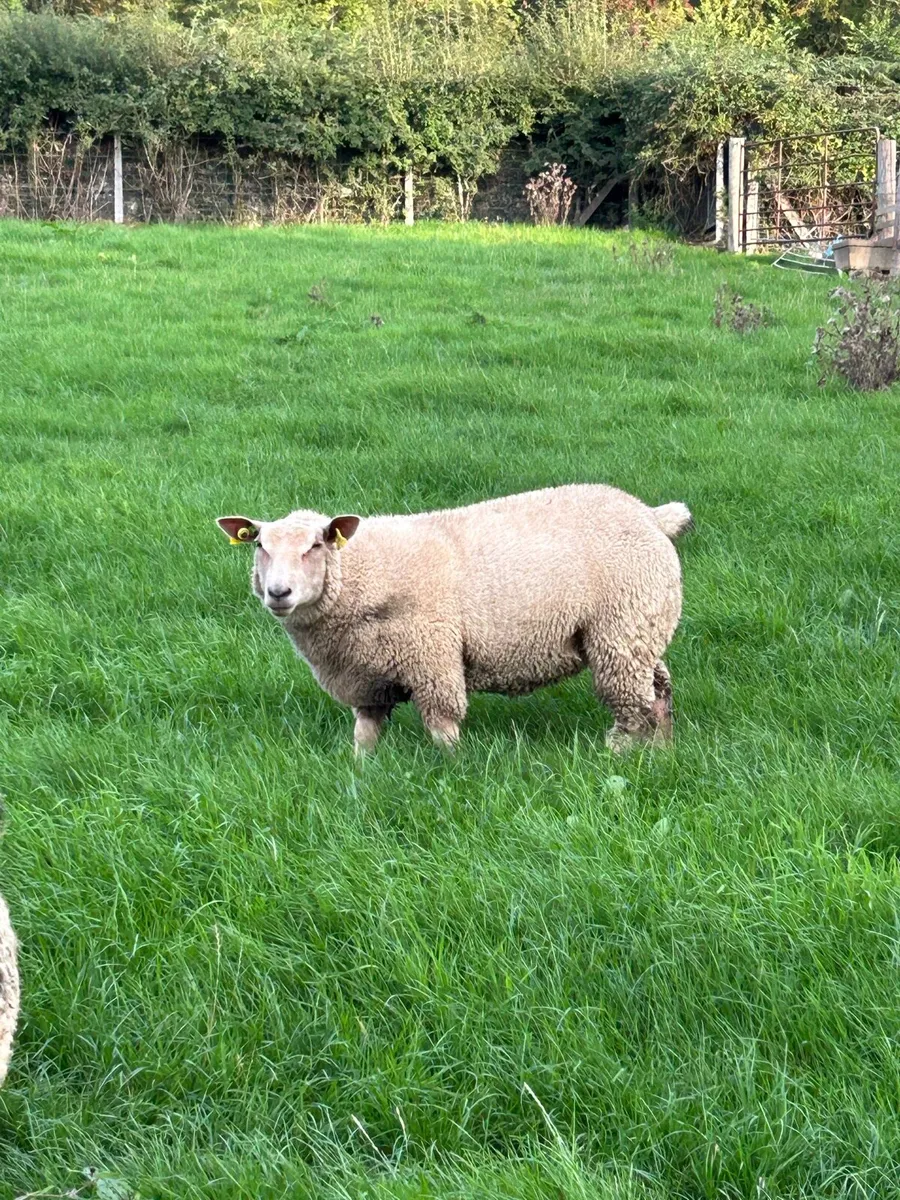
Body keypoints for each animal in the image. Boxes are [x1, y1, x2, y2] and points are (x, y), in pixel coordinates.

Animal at [217, 484, 692, 753]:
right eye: (259, 545)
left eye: (316, 545)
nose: (279, 593)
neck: (365, 573)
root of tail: (652, 515)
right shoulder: (367, 679)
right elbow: (365, 736)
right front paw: (361, 774)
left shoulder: (433, 659)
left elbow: (442, 726)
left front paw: (452, 769)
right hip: (641, 629)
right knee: (660, 692)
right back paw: (664, 753)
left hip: (622, 630)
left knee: (634, 707)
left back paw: (621, 754)